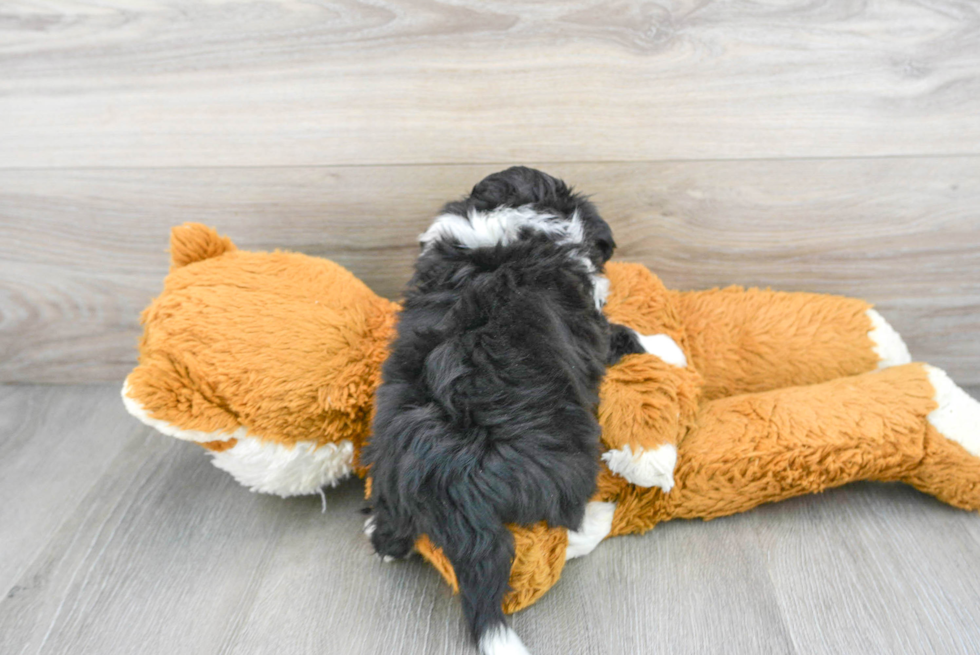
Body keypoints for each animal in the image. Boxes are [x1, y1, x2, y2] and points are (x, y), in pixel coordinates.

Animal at [360, 167, 644, 652]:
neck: (508, 232)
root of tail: (449, 480)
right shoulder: (594, 330)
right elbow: (621, 335)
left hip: (387, 455)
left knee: (391, 523)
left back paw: (382, 537)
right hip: (571, 459)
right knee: (565, 523)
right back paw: (602, 514)